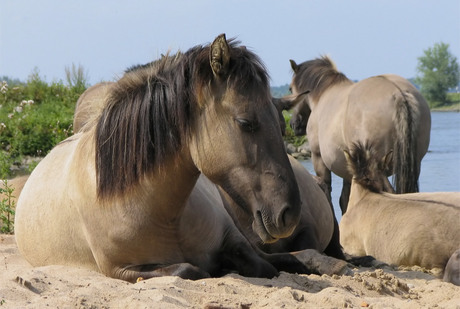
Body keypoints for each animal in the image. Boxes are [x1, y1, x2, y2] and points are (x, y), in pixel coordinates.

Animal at [13, 34, 302, 282]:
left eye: (280, 123)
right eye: (245, 122)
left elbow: (263, 265)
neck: (161, 214)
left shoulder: (232, 238)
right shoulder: (119, 269)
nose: (289, 214)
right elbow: (190, 270)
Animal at [284, 56, 432, 214]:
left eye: (290, 88)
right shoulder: (349, 167)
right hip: (414, 165)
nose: (294, 124)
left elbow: (327, 192)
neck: (322, 95)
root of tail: (399, 94)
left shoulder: (318, 158)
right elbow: (345, 199)